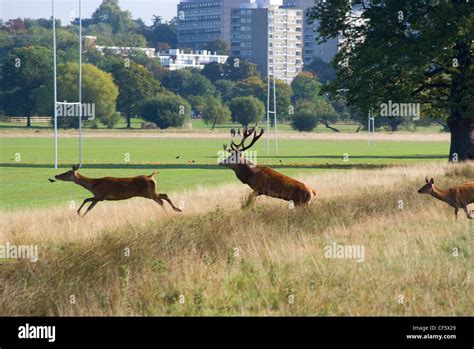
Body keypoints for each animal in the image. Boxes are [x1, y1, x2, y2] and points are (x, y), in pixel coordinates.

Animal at [53, 164, 182, 216]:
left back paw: (173, 210)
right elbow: (88, 203)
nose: (56, 175)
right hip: (150, 193)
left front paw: (80, 214)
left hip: (148, 193)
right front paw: (80, 214)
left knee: (163, 198)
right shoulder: (99, 197)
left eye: (67, 172)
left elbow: (87, 203)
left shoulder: (100, 195)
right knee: (163, 197)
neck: (93, 185)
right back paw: (175, 210)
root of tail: (151, 176)